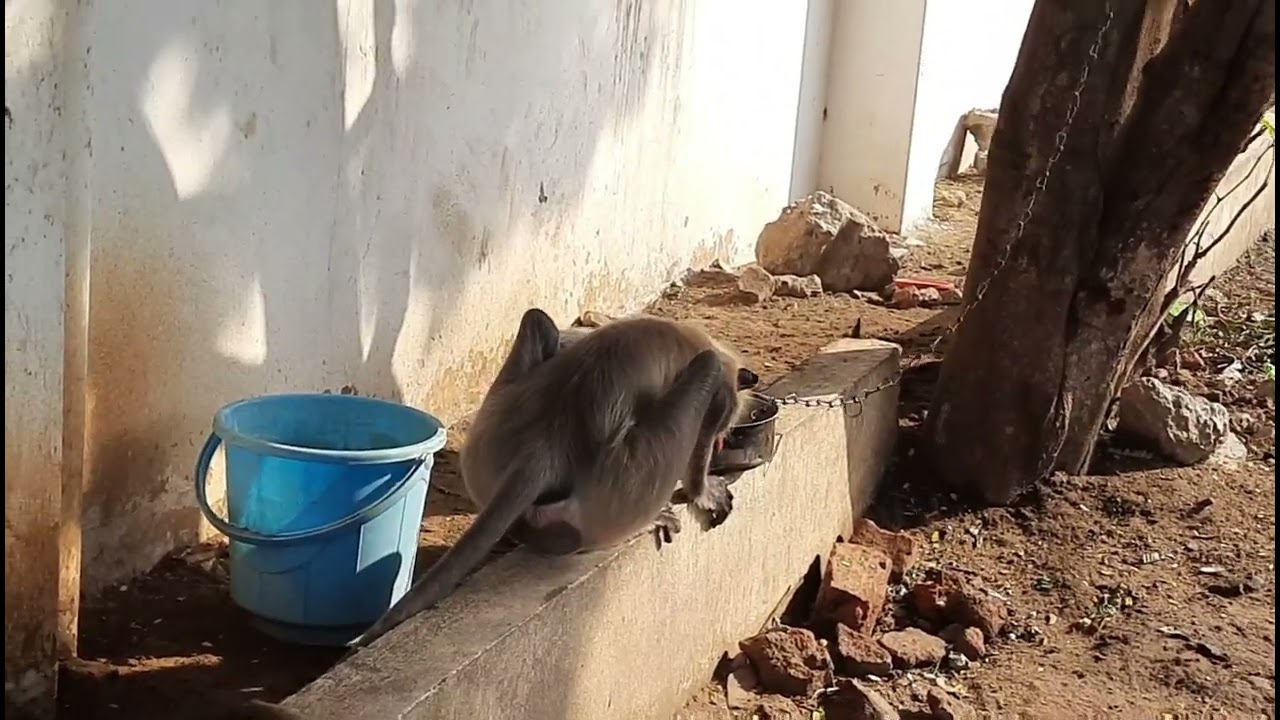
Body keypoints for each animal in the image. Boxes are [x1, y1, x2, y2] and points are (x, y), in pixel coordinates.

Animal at [347, 308, 753, 649]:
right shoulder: (723, 392)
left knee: (537, 318)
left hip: (490, 434)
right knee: (705, 369)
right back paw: (647, 519)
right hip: (625, 484)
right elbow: (710, 422)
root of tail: (546, 441)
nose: (727, 436)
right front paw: (704, 490)